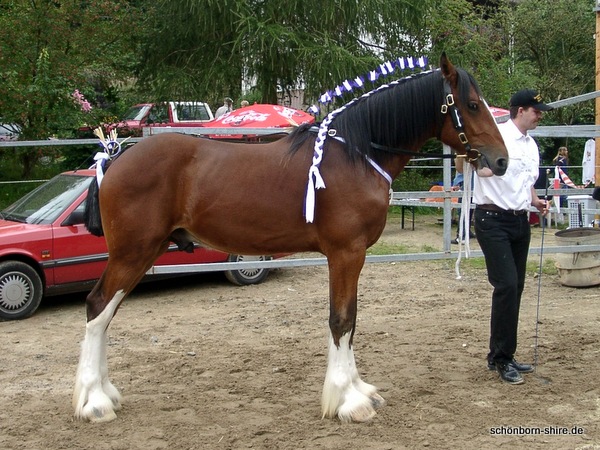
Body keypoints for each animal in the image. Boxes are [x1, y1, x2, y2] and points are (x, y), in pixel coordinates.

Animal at [74, 54, 506, 424]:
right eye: (471, 105)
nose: (501, 160)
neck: (357, 155)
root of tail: (116, 159)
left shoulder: (350, 257)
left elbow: (350, 320)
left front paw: (358, 390)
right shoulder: (345, 254)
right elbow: (342, 320)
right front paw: (347, 401)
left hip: (143, 254)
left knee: (105, 314)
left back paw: (105, 394)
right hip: (133, 253)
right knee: (98, 308)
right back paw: (94, 402)